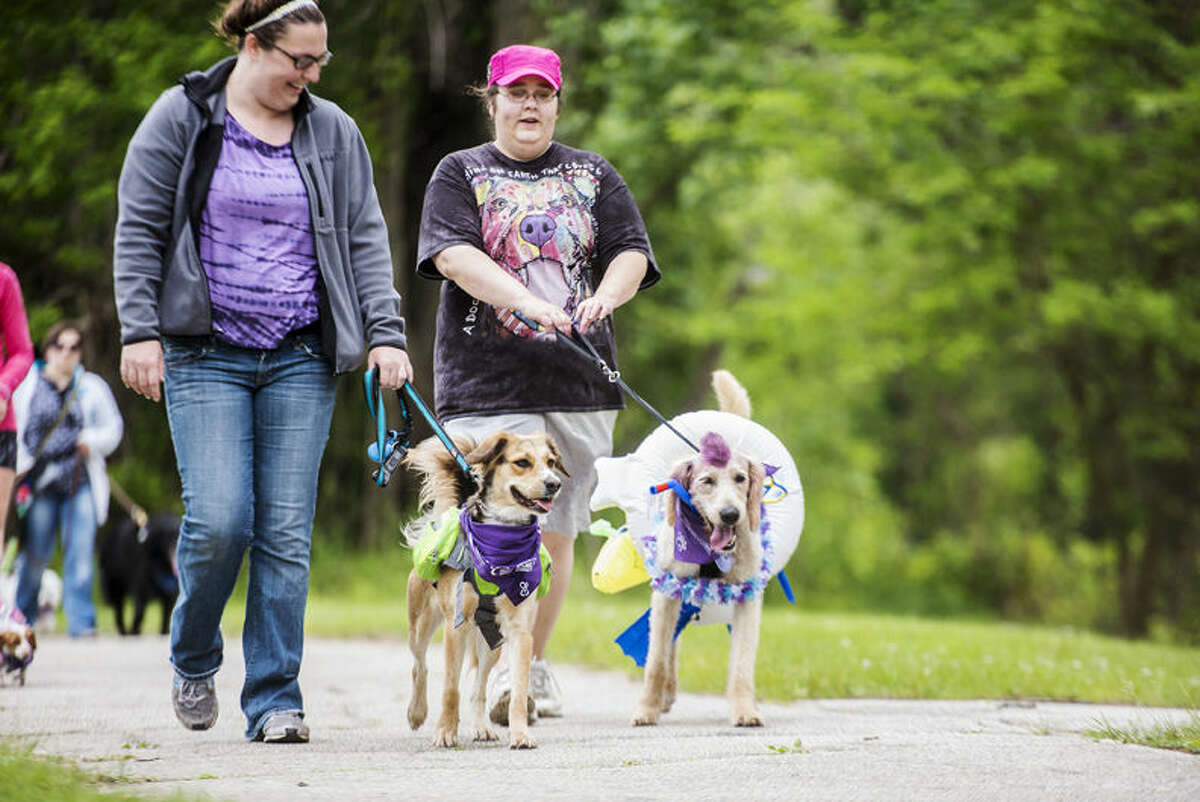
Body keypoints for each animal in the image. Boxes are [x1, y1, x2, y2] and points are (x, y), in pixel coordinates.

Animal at [403, 429, 566, 749]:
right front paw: (446, 732)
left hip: (492, 643)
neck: (501, 540)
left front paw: (520, 734)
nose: (554, 483)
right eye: (522, 462)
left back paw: (481, 727)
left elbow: (518, 691)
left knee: (478, 688)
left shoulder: (519, 631)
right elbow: (450, 689)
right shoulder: (456, 626)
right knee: (420, 666)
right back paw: (417, 712)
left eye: (551, 462)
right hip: (421, 623)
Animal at [628, 372, 768, 729]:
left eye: (740, 478)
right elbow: (656, 659)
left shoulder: (747, 596)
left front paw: (745, 710)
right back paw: (664, 695)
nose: (731, 514)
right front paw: (646, 709)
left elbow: (742, 663)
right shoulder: (666, 592)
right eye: (707, 481)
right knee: (669, 644)